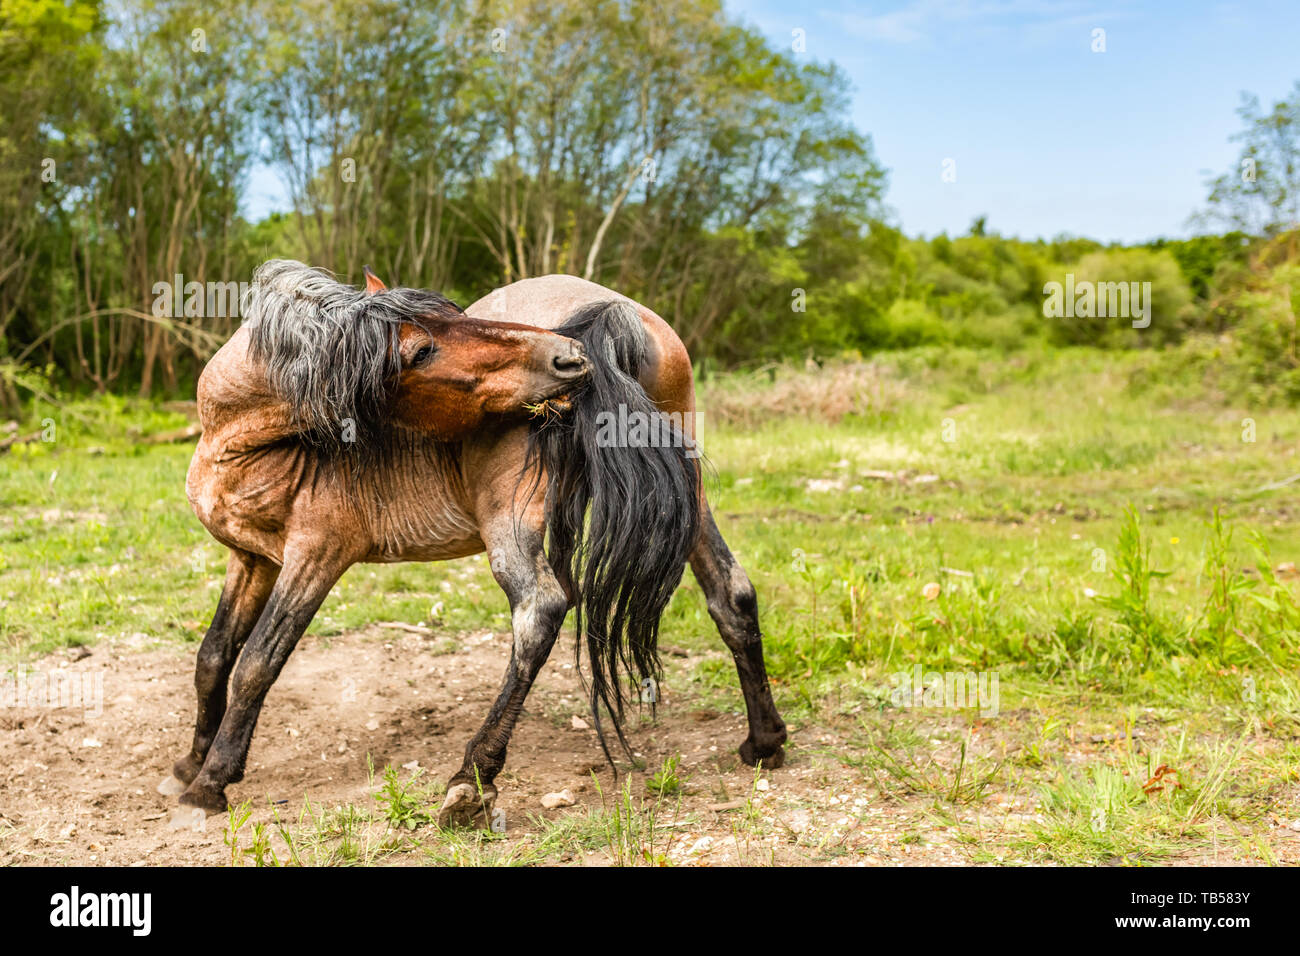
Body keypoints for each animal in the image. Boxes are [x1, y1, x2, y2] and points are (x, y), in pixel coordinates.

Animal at [167, 260, 785, 832]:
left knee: (540, 610)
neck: (242, 441)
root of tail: (615, 313)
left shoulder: (315, 558)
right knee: (732, 594)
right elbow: (213, 655)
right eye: (420, 350)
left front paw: (211, 782)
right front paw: (191, 761)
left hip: (510, 524)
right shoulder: (252, 560)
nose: (566, 358)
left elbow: (256, 664)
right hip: (685, 500)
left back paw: (471, 779)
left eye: (455, 316)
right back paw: (765, 741)